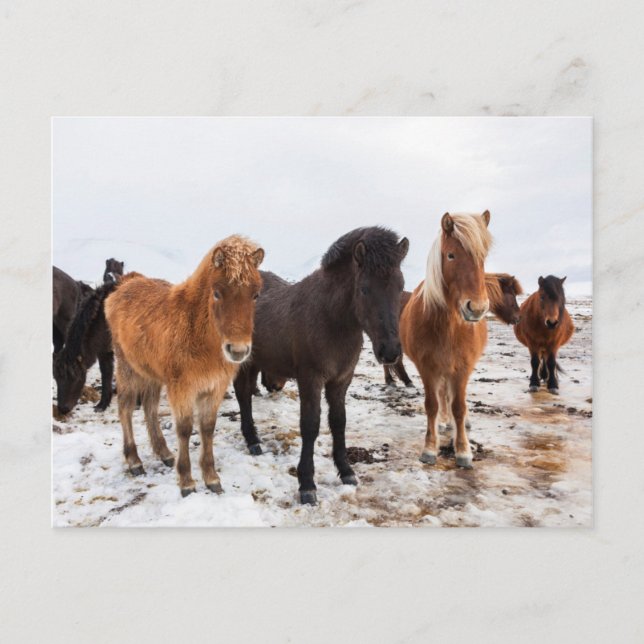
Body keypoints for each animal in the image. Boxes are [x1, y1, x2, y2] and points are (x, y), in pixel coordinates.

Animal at [53, 281, 116, 414]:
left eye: (75, 376)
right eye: (55, 378)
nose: (63, 409)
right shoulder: (104, 351)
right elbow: (106, 374)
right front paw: (102, 405)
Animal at [105, 236, 264, 496]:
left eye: (255, 295)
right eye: (217, 293)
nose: (238, 350)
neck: (196, 330)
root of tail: (126, 284)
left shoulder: (214, 388)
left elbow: (207, 427)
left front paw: (211, 478)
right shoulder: (182, 388)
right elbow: (185, 429)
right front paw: (187, 481)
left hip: (152, 374)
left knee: (149, 407)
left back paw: (164, 453)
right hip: (128, 368)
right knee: (125, 408)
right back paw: (134, 461)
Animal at [233, 227, 409, 505]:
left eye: (400, 287)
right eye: (364, 289)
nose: (390, 351)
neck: (330, 318)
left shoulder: (341, 380)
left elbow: (338, 422)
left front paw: (346, 471)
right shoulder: (310, 379)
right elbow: (311, 425)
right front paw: (307, 484)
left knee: (248, 392)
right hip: (244, 362)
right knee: (242, 395)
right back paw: (252, 441)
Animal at [400, 211, 492, 469]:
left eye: (483, 257)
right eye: (451, 255)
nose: (476, 308)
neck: (449, 327)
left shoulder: (462, 368)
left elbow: (459, 407)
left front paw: (463, 450)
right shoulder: (427, 368)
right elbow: (432, 404)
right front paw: (430, 448)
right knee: (442, 396)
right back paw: (443, 421)